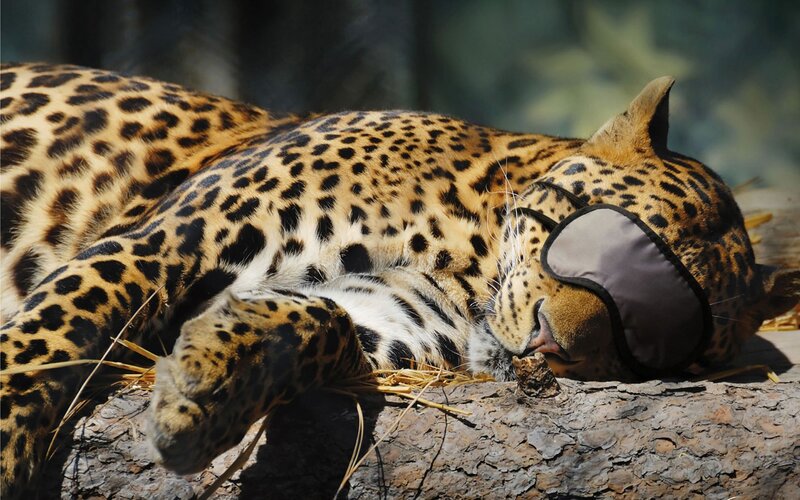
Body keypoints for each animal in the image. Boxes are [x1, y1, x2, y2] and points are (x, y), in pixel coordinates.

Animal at [1, 63, 797, 497]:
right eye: (597, 239)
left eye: (650, 340)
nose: (552, 346)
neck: (465, 251)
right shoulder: (168, 241)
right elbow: (46, 339)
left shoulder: (389, 317)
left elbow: (315, 320)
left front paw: (207, 386)